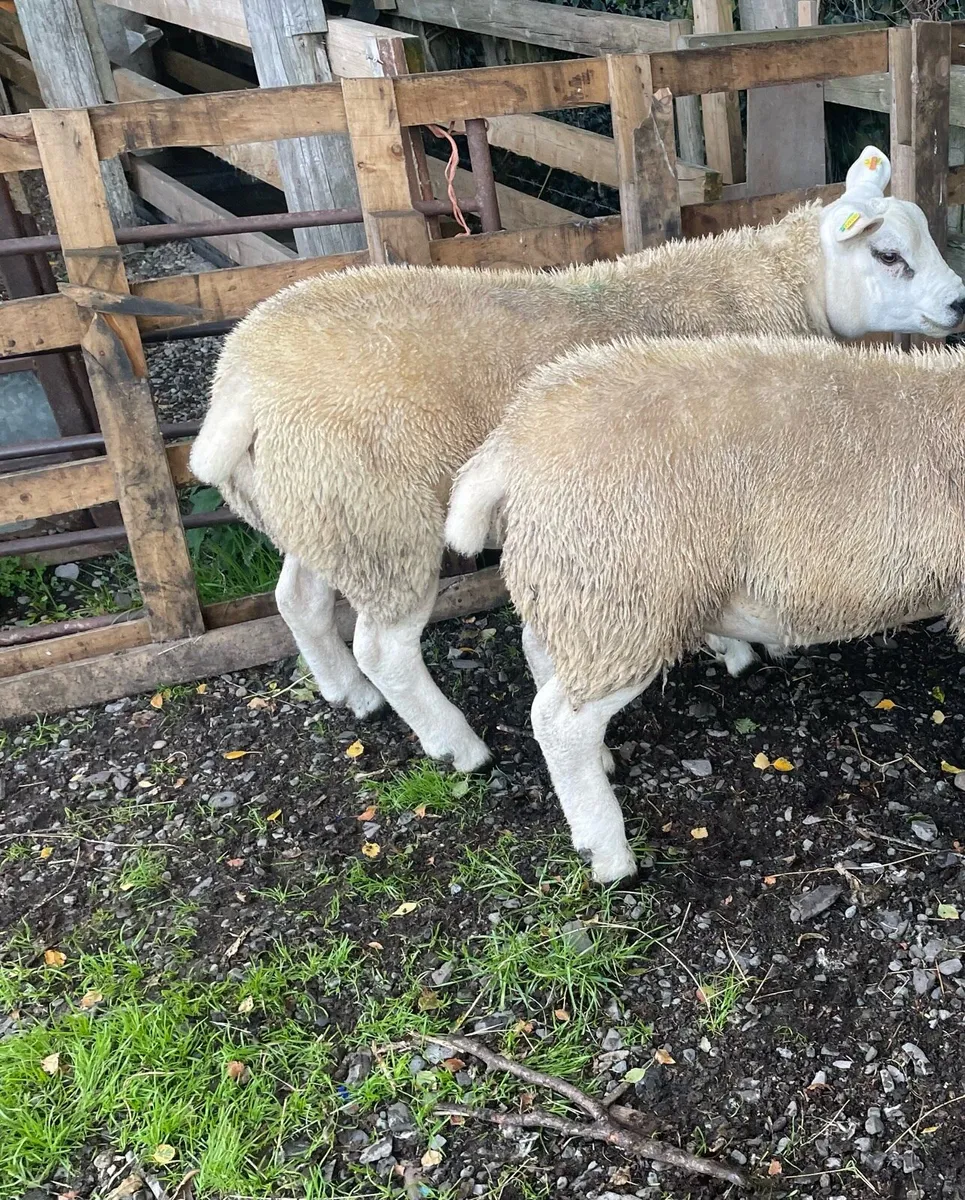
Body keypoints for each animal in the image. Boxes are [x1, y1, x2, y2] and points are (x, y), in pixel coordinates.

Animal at [189, 147, 965, 773]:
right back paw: (457, 745)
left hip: (322, 506)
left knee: (300, 600)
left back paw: (351, 696)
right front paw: (732, 647)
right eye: (888, 257)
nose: (959, 302)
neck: (775, 287)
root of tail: (238, 384)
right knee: (386, 648)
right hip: (383, 518)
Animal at [445, 332, 965, 882]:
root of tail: (511, 442)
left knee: (541, 655)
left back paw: (602, 762)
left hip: (576, 591)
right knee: (558, 723)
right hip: (629, 601)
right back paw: (609, 855)